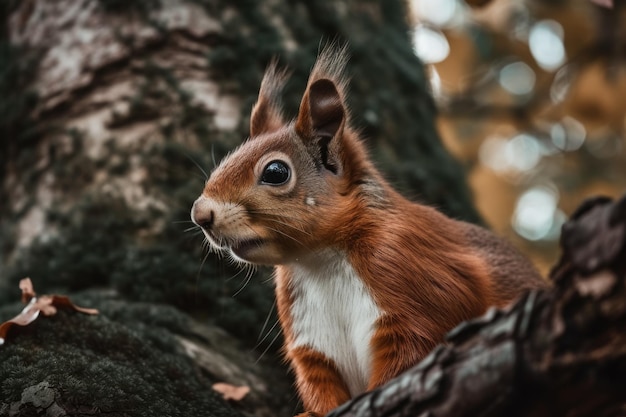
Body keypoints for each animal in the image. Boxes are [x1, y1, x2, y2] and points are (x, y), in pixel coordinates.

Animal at [190, 44, 544, 414]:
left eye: (275, 172)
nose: (200, 214)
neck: (321, 260)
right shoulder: (311, 341)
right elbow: (321, 386)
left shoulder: (420, 279)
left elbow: (409, 355)